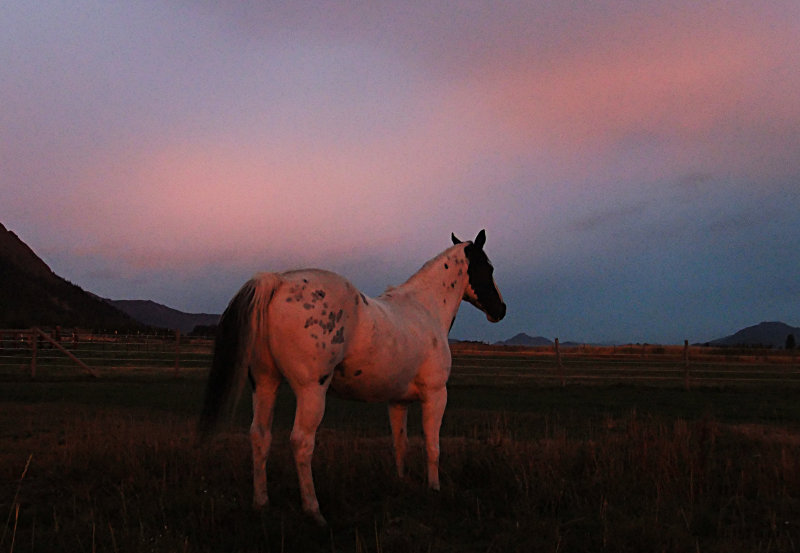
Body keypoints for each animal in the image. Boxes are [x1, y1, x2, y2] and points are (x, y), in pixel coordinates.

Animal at [197, 230, 504, 528]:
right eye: (487, 267)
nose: (500, 310)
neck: (424, 309)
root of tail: (278, 281)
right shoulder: (436, 395)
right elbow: (432, 445)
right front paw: (434, 489)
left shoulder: (398, 402)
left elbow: (400, 443)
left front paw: (401, 481)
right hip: (311, 391)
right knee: (301, 442)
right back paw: (314, 511)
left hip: (265, 384)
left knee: (260, 436)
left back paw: (261, 504)